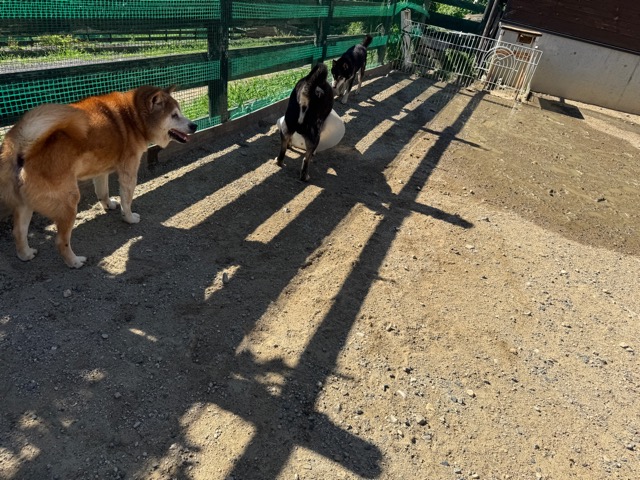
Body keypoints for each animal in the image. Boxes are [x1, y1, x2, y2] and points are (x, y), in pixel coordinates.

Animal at [0, 85, 197, 268]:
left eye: (179, 113)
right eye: (174, 115)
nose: (194, 126)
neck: (133, 116)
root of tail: (23, 148)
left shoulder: (101, 172)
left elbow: (103, 193)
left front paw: (108, 205)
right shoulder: (129, 172)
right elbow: (127, 201)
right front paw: (129, 218)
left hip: (24, 205)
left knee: (19, 232)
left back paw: (25, 254)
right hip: (69, 202)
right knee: (60, 241)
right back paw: (74, 261)